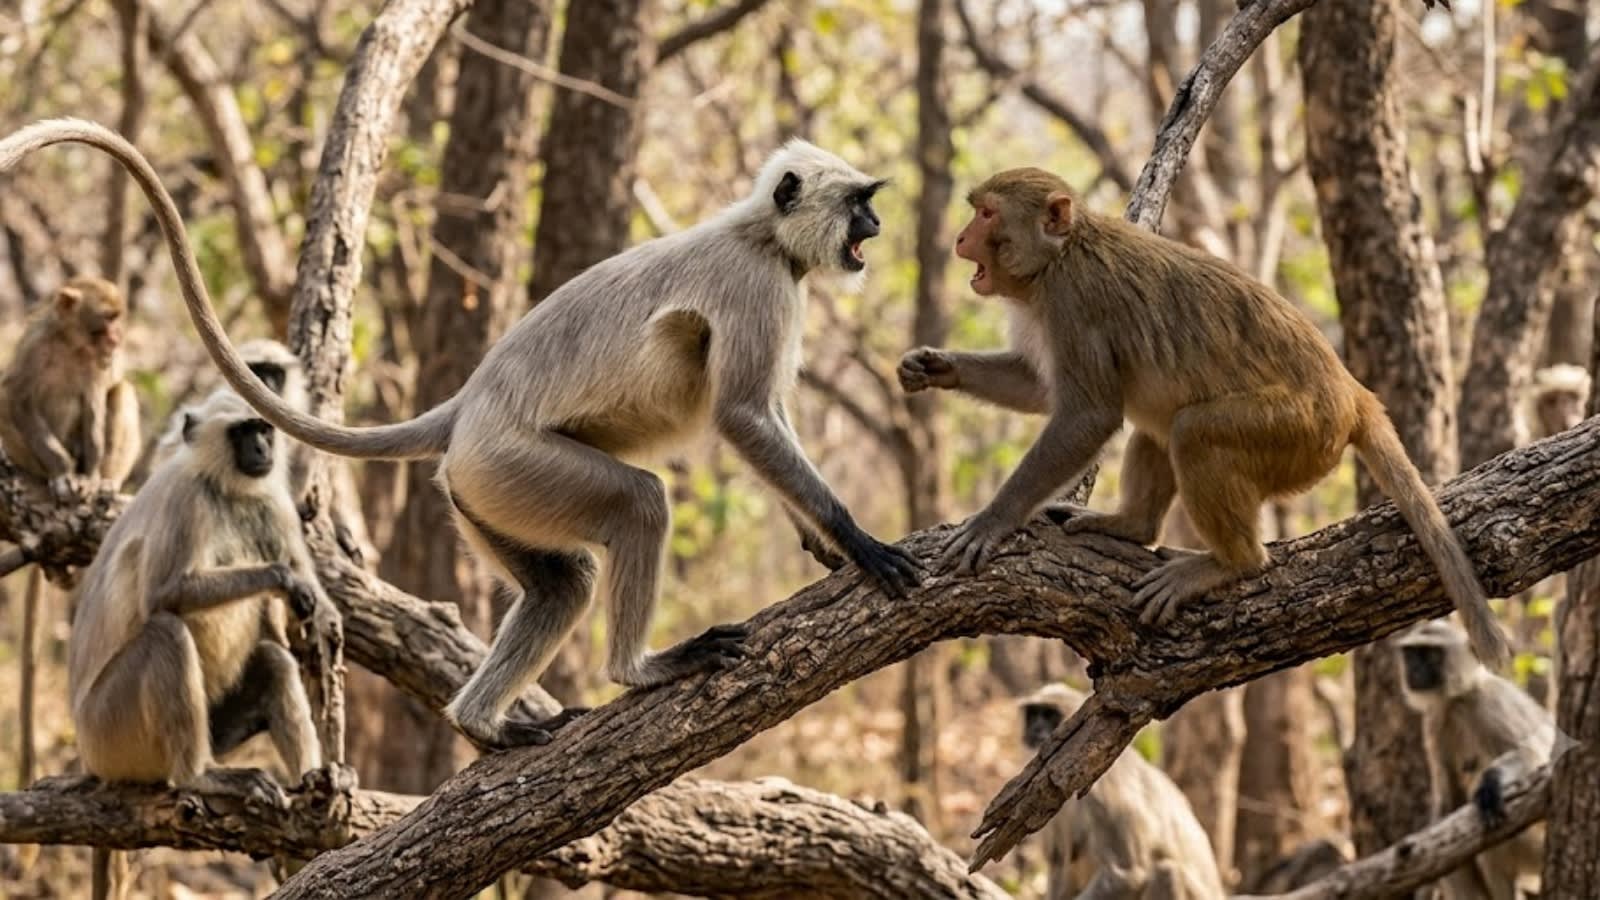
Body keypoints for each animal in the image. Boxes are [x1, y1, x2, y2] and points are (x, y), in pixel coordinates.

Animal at [0, 275, 141, 494]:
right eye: (108, 317)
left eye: (116, 318)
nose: (116, 337)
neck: (70, 343)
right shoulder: (35, 345)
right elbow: (18, 398)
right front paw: (62, 471)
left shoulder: (97, 361)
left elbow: (93, 405)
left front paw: (92, 477)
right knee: (5, 401)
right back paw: (51, 476)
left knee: (122, 391)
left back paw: (108, 480)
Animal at [900, 167, 1508, 668]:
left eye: (986, 214)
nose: (959, 239)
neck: (1060, 256)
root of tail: (1351, 393)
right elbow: (1037, 386)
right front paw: (935, 367)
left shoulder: (1075, 302)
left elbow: (1087, 416)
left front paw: (992, 520)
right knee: (1159, 423)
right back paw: (1131, 525)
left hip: (1299, 433)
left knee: (1194, 432)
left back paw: (1231, 563)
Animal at [1020, 683, 1226, 900]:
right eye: (1033, 714)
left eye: (1049, 715)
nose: (1035, 728)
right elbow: (1059, 860)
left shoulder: (1104, 792)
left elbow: (1127, 876)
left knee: (1167, 872)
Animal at [1398, 620, 1554, 900]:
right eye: (1411, 654)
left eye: (1430, 655)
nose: (1415, 669)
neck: (1458, 698)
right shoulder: (1435, 720)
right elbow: (1447, 801)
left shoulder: (1489, 703)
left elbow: (1535, 755)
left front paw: (1491, 784)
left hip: (1536, 841)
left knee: (1490, 844)